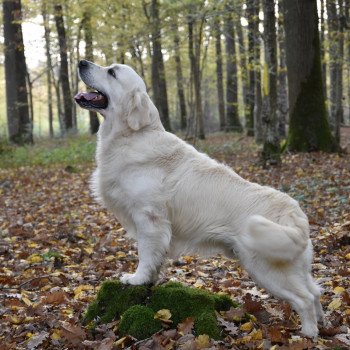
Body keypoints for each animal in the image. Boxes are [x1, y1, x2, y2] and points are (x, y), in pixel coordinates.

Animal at [74, 59, 326, 336]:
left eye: (112, 72)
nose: (82, 62)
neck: (132, 136)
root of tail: (295, 215)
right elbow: (156, 259)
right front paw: (150, 280)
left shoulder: (149, 219)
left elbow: (146, 255)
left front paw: (137, 278)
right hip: (293, 265)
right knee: (315, 291)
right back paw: (324, 324)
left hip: (265, 267)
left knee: (304, 298)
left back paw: (308, 333)